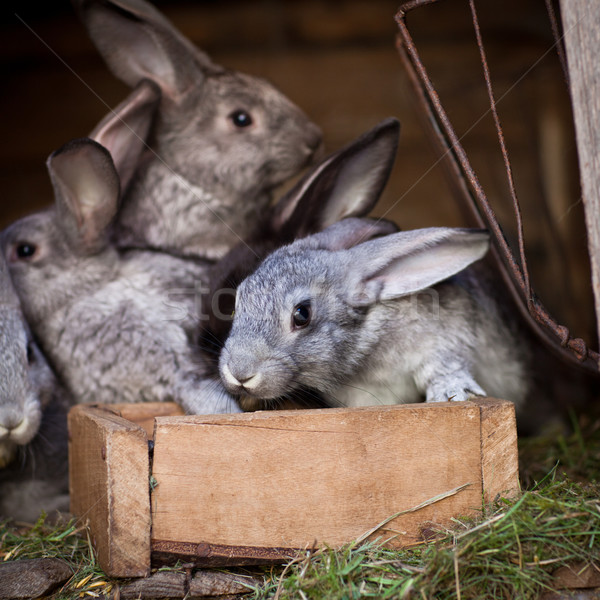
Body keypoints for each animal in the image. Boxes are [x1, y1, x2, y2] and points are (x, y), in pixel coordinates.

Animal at [220, 218, 528, 410]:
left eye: (302, 314)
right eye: (237, 302)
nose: (240, 373)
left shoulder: (448, 337)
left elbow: (445, 364)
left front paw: (449, 391)